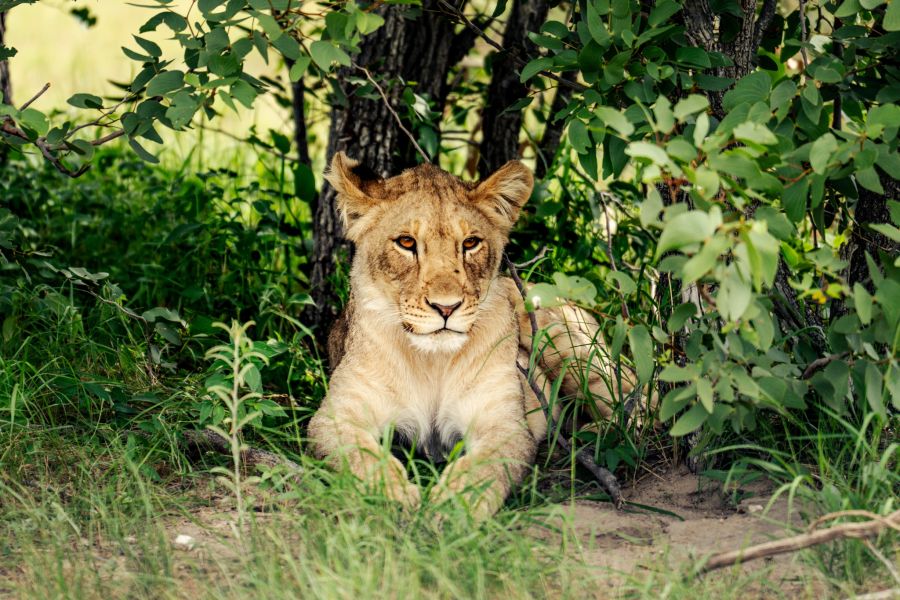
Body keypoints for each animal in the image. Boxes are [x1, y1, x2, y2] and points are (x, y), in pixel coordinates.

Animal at [307, 152, 638, 520]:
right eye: (406, 243)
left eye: (470, 243)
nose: (446, 307)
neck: (432, 362)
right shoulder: (337, 417)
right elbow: (362, 459)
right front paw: (392, 498)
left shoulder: (503, 423)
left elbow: (484, 469)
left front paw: (453, 507)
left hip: (564, 341)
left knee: (632, 393)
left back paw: (593, 438)